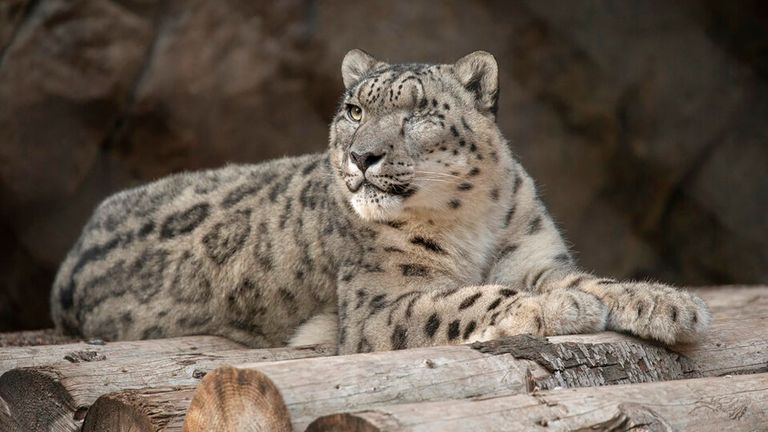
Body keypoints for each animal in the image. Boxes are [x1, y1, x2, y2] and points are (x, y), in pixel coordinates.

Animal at [49, 51, 708, 354]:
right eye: (354, 110)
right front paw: (558, 310)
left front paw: (666, 303)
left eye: (418, 112)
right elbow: (466, 298)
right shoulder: (380, 302)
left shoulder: (533, 255)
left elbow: (587, 279)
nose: (361, 156)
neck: (473, 223)